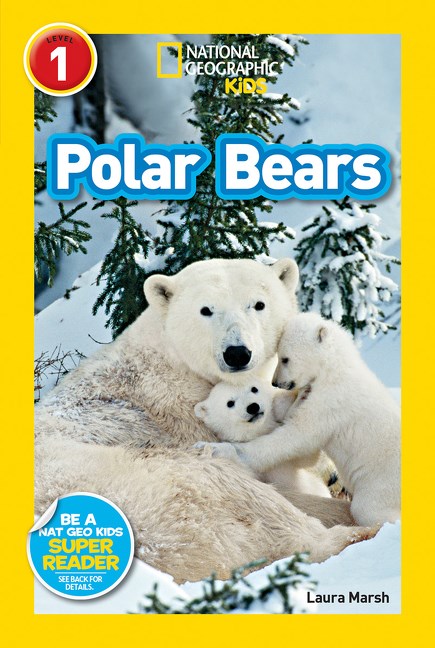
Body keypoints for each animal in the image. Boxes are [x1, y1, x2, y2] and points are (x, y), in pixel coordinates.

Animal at [194, 378, 331, 498]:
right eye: (230, 403)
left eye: (254, 389)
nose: (253, 407)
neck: (257, 432)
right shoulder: (261, 474)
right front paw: (211, 448)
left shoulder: (290, 463)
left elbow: (307, 458)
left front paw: (302, 396)